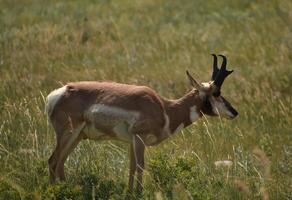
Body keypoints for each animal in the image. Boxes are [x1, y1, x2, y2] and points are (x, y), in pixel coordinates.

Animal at [45, 54, 237, 195]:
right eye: (217, 93)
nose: (235, 112)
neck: (164, 108)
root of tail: (59, 92)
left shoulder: (132, 141)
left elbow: (131, 167)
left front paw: (130, 194)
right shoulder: (139, 138)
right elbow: (140, 166)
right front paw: (139, 194)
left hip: (78, 136)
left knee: (60, 162)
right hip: (69, 133)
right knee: (53, 160)